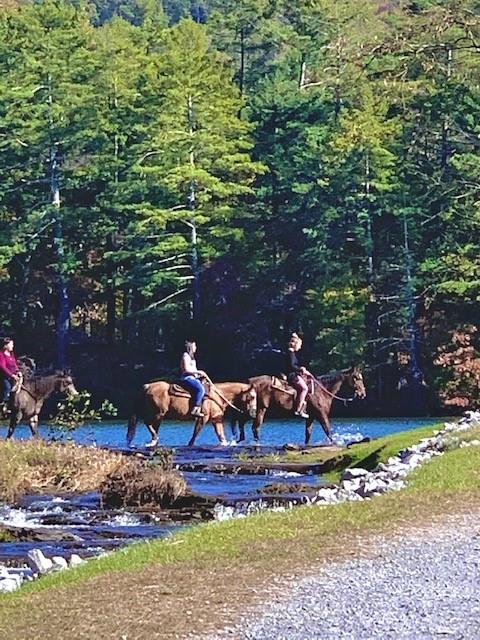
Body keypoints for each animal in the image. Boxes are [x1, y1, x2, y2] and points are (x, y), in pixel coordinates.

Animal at [125, 380, 256, 450]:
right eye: (252, 396)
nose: (253, 413)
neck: (217, 396)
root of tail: (147, 386)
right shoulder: (202, 418)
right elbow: (195, 435)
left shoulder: (216, 420)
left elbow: (221, 436)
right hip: (158, 413)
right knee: (148, 423)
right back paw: (154, 440)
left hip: (158, 415)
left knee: (153, 427)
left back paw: (154, 441)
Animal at [234, 364, 366, 444]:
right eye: (356, 377)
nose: (362, 394)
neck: (322, 390)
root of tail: (249, 382)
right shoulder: (321, 415)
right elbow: (328, 431)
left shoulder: (311, 417)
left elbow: (308, 435)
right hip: (261, 409)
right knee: (255, 427)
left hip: (252, 409)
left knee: (242, 422)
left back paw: (240, 439)